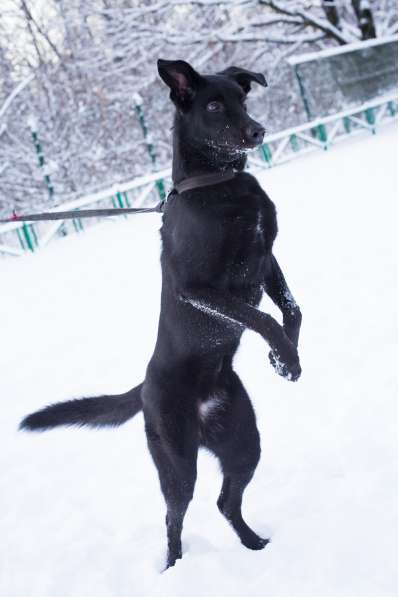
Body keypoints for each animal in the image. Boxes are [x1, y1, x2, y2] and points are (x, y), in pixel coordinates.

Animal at [21, 59, 302, 568]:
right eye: (214, 106)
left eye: (242, 98)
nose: (258, 131)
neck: (219, 186)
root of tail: (145, 385)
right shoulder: (198, 287)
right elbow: (263, 318)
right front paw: (286, 357)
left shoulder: (266, 260)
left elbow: (292, 310)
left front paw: (285, 359)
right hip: (178, 461)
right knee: (174, 516)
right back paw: (173, 567)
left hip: (243, 442)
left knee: (225, 501)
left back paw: (253, 544)